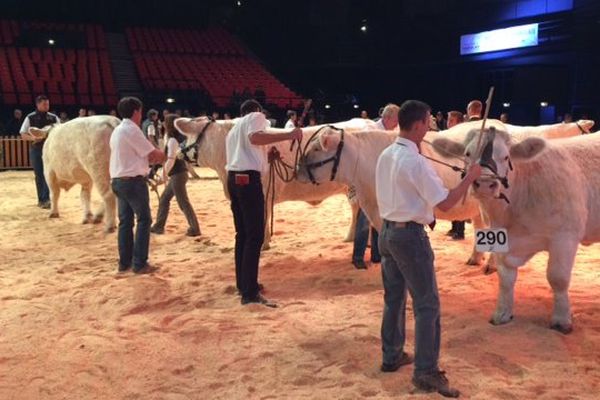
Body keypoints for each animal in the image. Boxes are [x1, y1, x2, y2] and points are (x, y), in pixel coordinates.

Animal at [434, 129, 600, 334]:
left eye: (506, 157)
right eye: (467, 153)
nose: (485, 184)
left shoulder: (565, 236)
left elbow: (558, 278)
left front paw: (561, 320)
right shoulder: (501, 240)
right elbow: (505, 279)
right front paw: (502, 314)